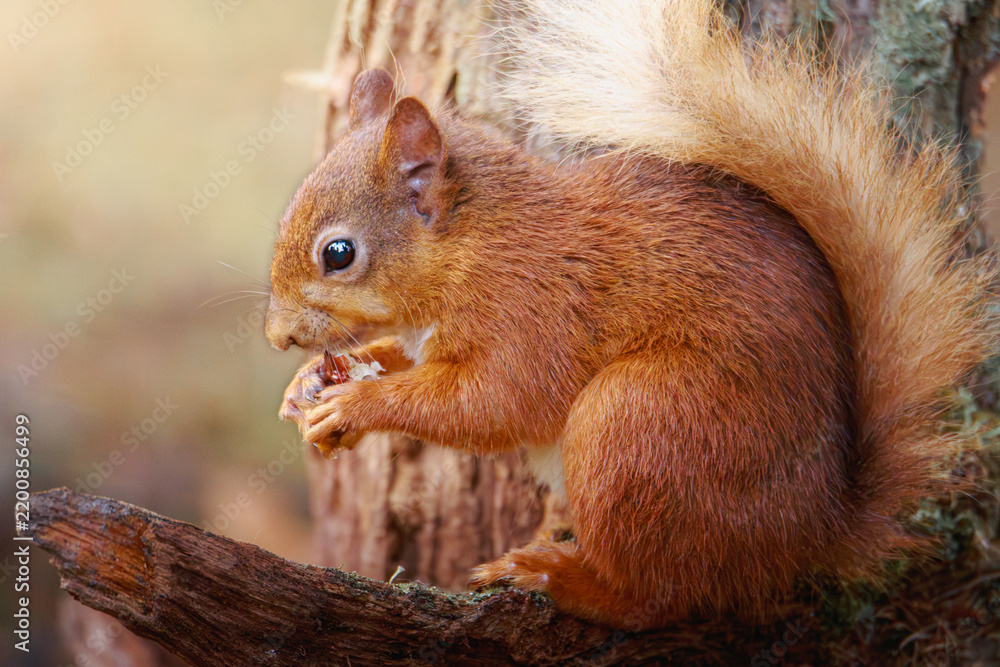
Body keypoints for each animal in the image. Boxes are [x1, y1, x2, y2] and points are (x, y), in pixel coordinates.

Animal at [265, 0, 995, 629]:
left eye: (338, 253)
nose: (277, 337)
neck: (475, 247)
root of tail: (817, 532)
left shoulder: (533, 313)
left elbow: (491, 403)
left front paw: (358, 405)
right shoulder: (427, 336)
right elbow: (399, 358)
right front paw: (306, 387)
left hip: (639, 423)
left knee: (660, 598)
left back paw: (561, 578)